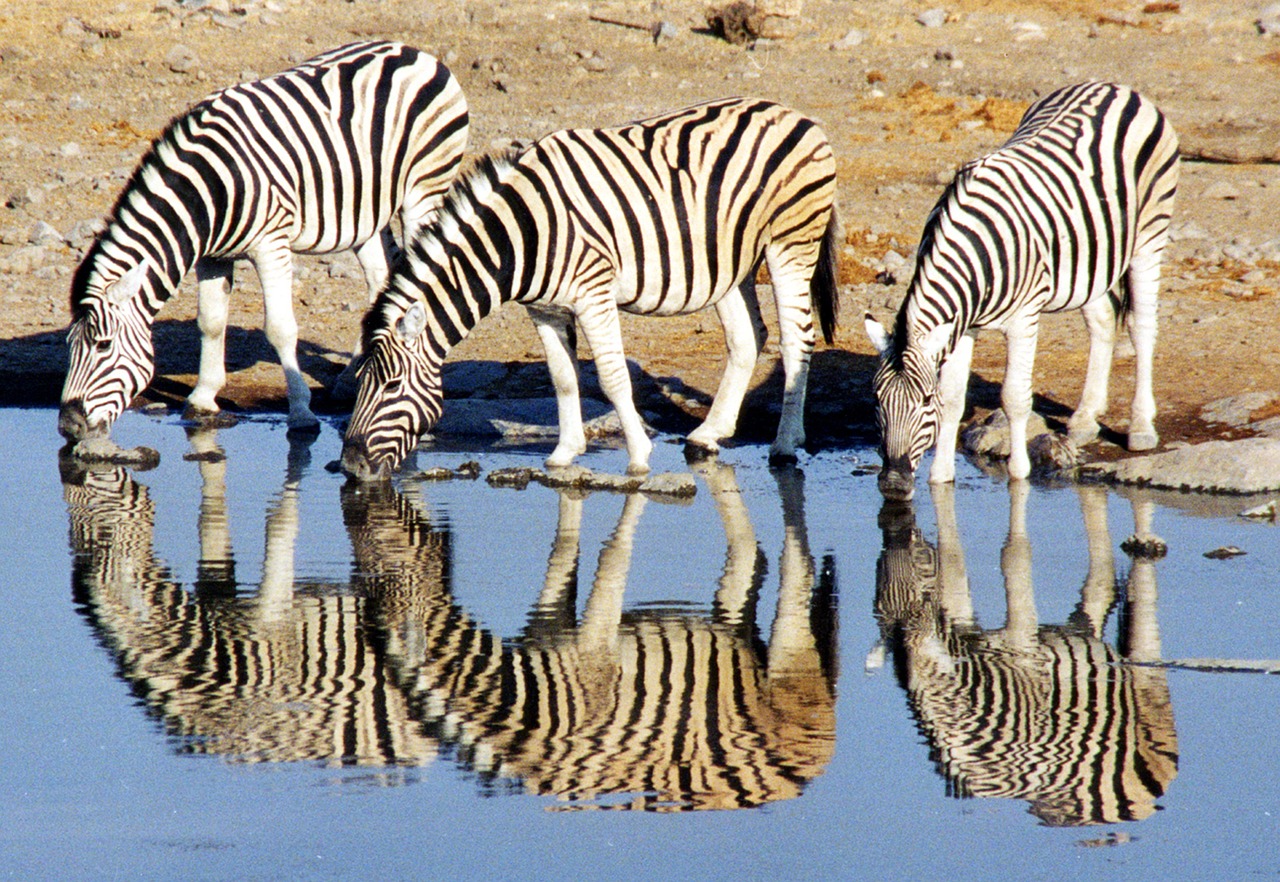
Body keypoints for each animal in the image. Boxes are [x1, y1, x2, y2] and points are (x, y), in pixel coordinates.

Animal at [60, 38, 471, 442]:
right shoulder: (212, 256)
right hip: (367, 212)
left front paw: (302, 412)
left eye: (102, 345)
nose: (68, 425)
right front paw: (202, 399)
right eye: (70, 347)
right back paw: (350, 379)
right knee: (380, 278)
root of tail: (413, 50)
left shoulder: (271, 245)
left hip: (425, 188)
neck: (210, 191)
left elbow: (279, 328)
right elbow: (210, 321)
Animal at [340, 96, 839, 478]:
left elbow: (612, 377)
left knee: (797, 340)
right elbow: (563, 378)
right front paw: (564, 454)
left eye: (392, 386)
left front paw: (639, 456)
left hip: (791, 242)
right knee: (747, 337)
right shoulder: (543, 308)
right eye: (360, 383)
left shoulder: (593, 293)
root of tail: (794, 113)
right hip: (729, 262)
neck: (522, 235)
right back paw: (708, 434)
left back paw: (785, 445)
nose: (350, 466)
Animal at [860, 83, 1177, 501]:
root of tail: (1113, 87)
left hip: (1149, 234)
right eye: (876, 399)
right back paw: (1084, 419)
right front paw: (941, 477)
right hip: (1089, 257)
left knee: (1142, 326)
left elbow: (1013, 397)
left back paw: (1141, 428)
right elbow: (954, 400)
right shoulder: (964, 324)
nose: (894, 485)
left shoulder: (1024, 318)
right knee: (1103, 322)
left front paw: (1019, 471)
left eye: (923, 400)